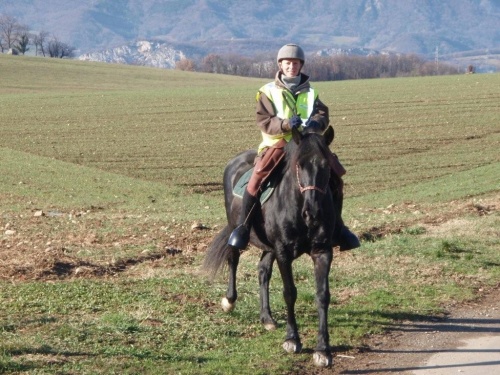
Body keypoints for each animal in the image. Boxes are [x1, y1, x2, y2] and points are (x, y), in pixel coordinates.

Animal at [202, 128, 336, 368]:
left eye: (326, 165)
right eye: (299, 165)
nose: (312, 213)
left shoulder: (322, 252)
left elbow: (322, 295)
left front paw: (323, 350)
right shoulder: (283, 252)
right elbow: (289, 293)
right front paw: (292, 340)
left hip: (269, 247)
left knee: (263, 271)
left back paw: (267, 318)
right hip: (237, 228)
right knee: (233, 259)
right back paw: (229, 301)